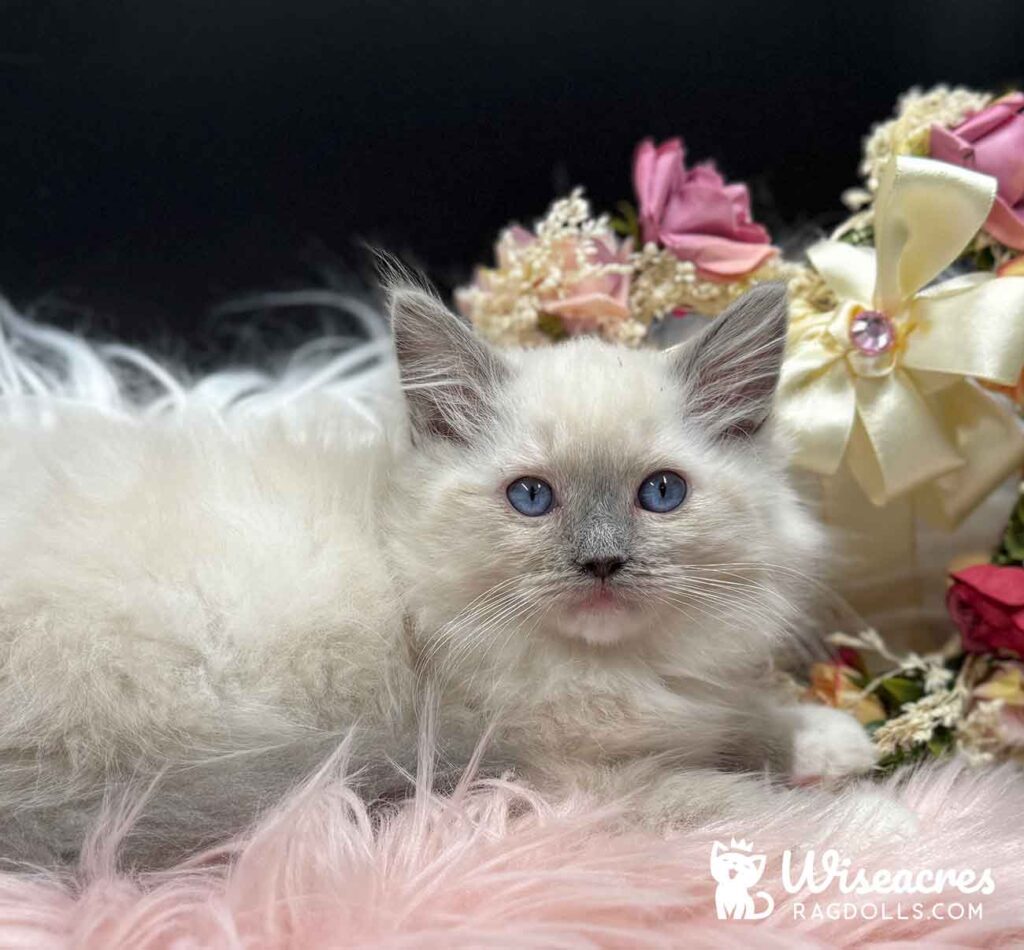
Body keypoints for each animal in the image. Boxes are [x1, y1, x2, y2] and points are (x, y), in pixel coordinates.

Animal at [0, 280, 876, 859]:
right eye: (532, 497)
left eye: (660, 494)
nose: (601, 561)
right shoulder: (581, 779)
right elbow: (750, 806)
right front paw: (880, 817)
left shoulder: (691, 700)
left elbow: (750, 717)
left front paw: (834, 742)